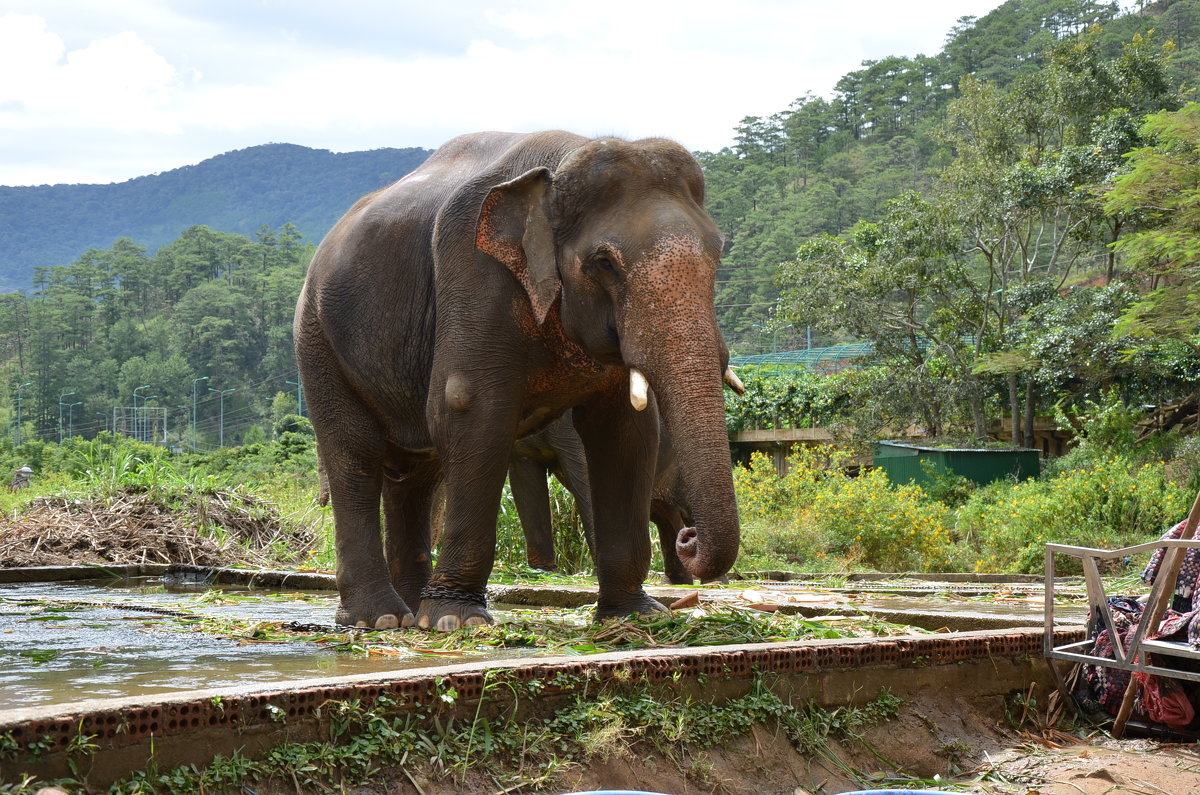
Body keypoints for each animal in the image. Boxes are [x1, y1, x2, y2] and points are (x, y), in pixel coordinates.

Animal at [295, 130, 739, 634]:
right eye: (604, 262)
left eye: (718, 254)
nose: (691, 537)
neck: (560, 166)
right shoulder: (474, 271)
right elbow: (469, 407)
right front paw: (458, 621)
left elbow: (624, 431)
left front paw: (635, 616)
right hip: (318, 343)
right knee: (357, 455)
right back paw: (381, 620)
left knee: (417, 473)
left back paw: (411, 618)